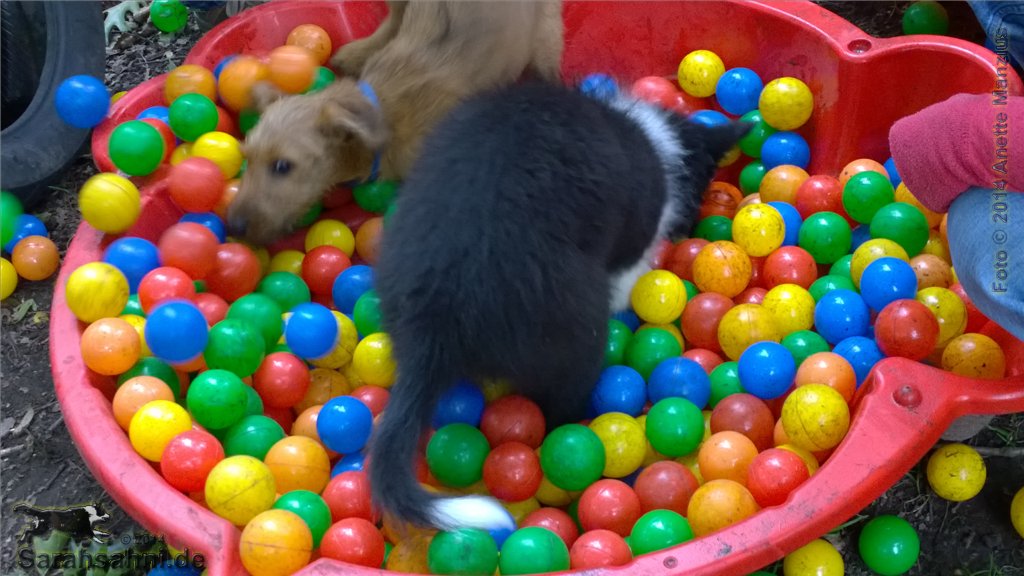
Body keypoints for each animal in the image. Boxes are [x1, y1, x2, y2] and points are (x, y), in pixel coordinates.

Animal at [228, 0, 564, 245]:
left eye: (282, 166)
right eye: (247, 159)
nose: (233, 226)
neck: (385, 114)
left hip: (545, 36)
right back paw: (359, 50)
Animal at [368, 81, 750, 532]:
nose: (691, 228)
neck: (655, 141)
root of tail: (432, 322)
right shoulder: (633, 235)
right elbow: (629, 272)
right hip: (574, 337)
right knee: (561, 404)